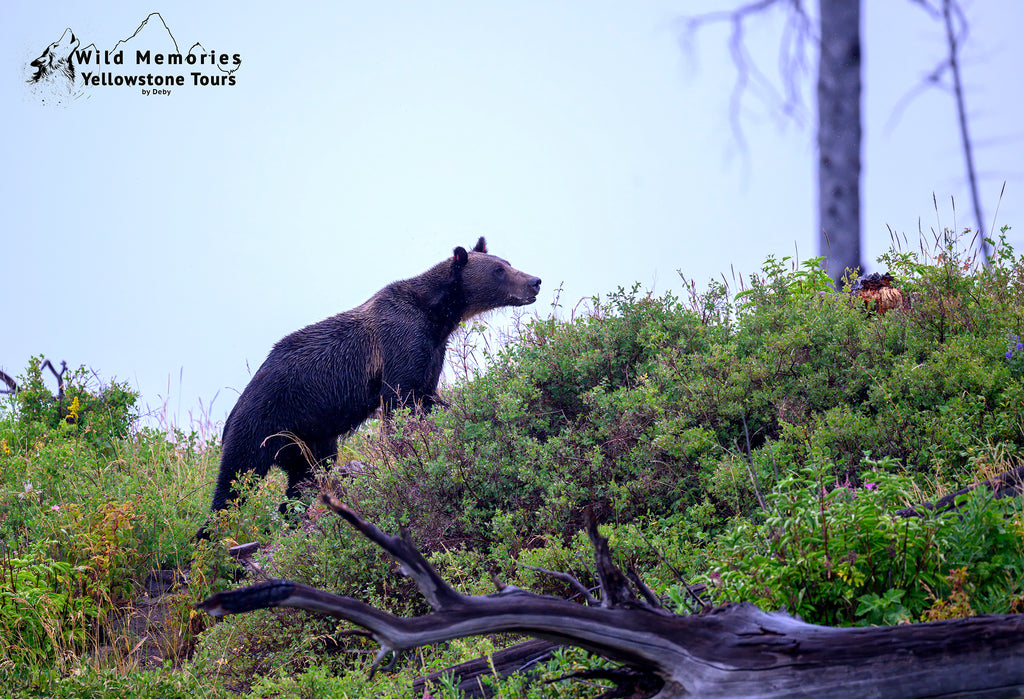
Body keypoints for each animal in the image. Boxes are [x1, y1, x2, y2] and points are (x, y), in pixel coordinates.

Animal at [204, 237, 540, 515]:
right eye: (499, 270)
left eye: (507, 262)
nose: (535, 281)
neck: (436, 316)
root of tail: (234, 411)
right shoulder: (401, 340)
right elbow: (400, 401)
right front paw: (409, 451)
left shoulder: (432, 352)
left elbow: (428, 396)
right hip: (262, 425)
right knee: (235, 481)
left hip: (307, 440)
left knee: (307, 476)